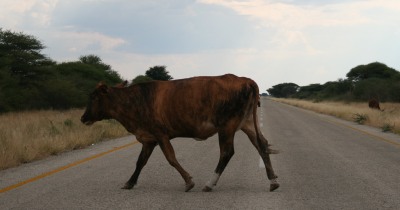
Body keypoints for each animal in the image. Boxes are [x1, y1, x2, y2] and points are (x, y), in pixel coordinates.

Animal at [81, 73, 280, 192]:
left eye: (94, 97)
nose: (83, 118)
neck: (136, 100)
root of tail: (244, 79)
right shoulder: (149, 139)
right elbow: (140, 162)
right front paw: (129, 182)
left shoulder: (160, 135)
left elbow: (171, 158)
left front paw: (189, 181)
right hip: (247, 124)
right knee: (262, 145)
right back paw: (273, 181)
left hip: (227, 127)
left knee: (227, 153)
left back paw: (210, 183)